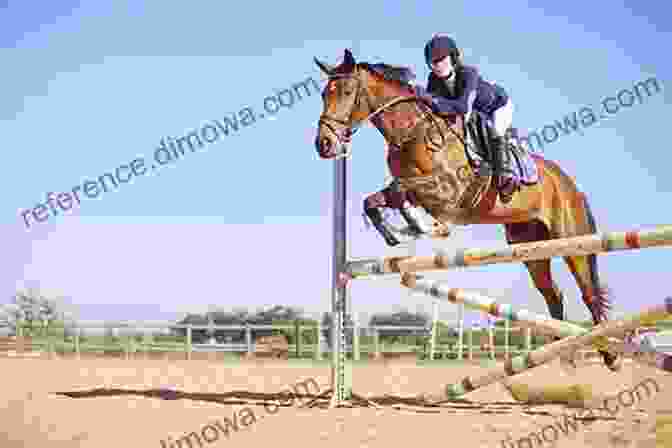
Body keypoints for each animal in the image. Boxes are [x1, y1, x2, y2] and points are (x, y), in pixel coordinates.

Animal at [312, 48, 624, 372]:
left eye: (347, 91)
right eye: (324, 93)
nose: (324, 144)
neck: (412, 132)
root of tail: (570, 184)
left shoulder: (446, 190)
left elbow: (401, 192)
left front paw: (424, 227)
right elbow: (376, 200)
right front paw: (400, 232)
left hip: (572, 240)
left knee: (589, 293)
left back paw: (610, 356)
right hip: (530, 246)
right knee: (554, 294)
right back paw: (556, 351)